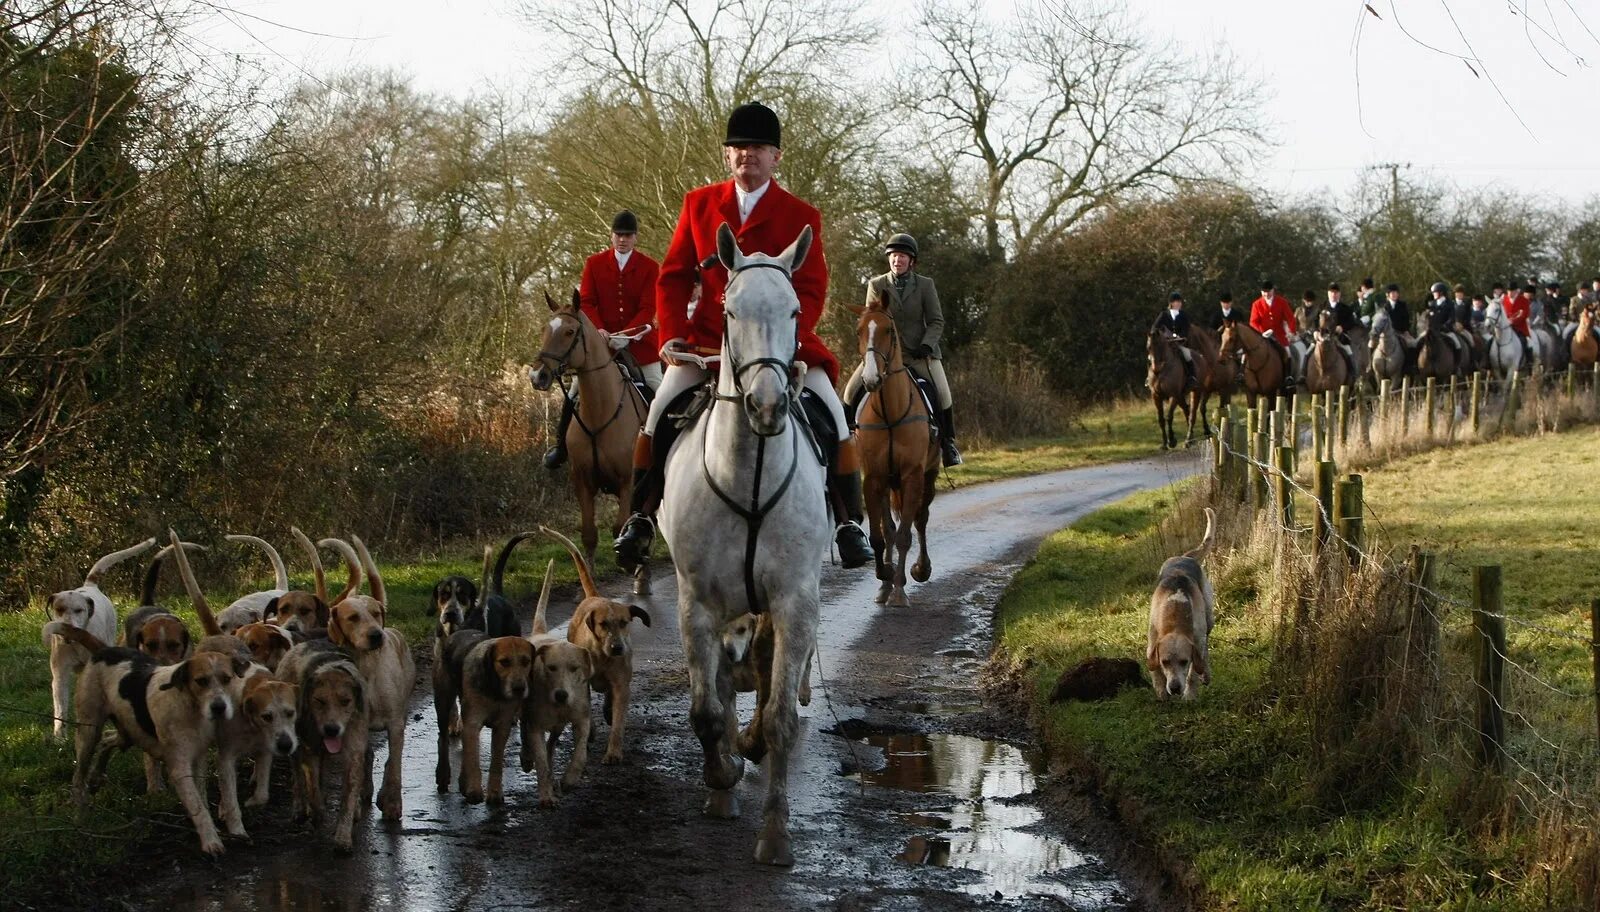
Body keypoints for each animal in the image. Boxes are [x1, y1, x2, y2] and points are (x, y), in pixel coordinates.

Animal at [528, 288, 646, 592]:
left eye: (570, 332)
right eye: (544, 329)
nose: (537, 375)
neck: (600, 412)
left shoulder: (628, 481)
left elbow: (620, 527)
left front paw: (629, 566)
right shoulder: (581, 480)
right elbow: (590, 534)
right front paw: (590, 580)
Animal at [652, 224, 825, 864]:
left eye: (795, 309)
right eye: (729, 310)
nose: (768, 405)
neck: (747, 473)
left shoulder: (795, 601)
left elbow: (779, 718)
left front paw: (775, 834)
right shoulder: (697, 603)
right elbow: (705, 709)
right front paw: (721, 777)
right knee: (723, 685)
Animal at [857, 297, 940, 608]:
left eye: (888, 331)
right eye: (859, 331)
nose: (870, 379)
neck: (890, 413)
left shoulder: (912, 475)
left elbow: (906, 533)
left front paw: (900, 590)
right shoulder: (874, 477)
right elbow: (880, 535)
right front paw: (885, 577)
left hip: (928, 476)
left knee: (920, 519)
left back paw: (920, 569)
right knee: (890, 528)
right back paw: (885, 583)